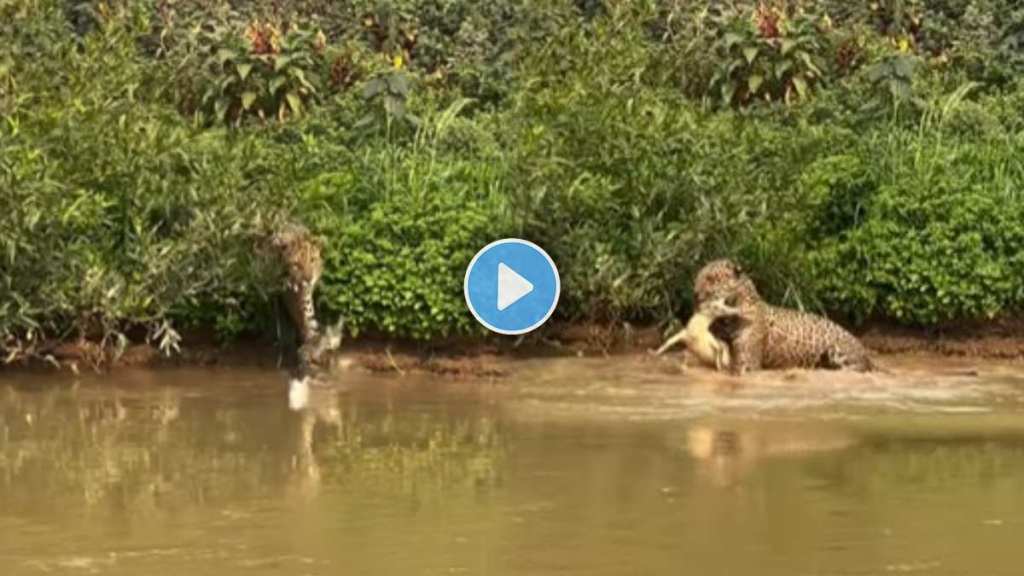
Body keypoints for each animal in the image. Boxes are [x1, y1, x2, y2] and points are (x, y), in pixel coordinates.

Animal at [688, 258, 872, 375]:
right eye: (697, 277)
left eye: (711, 278)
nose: (695, 294)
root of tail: (864, 349)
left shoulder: (748, 362)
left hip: (838, 350)